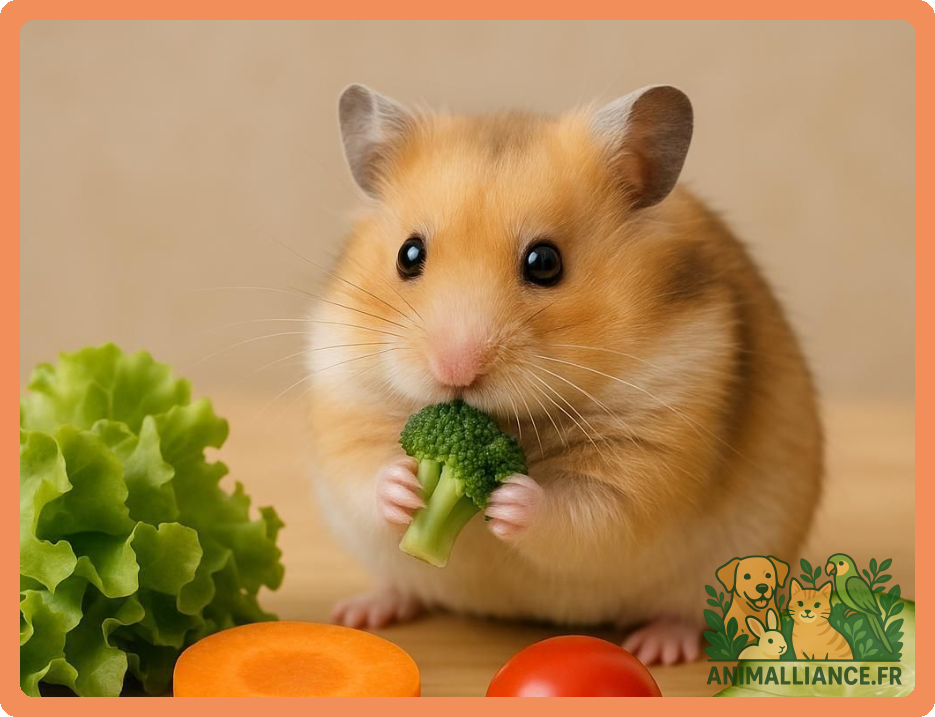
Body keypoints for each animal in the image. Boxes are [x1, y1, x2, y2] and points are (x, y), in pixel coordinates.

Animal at [305, 84, 822, 665]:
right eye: (408, 254)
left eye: (545, 262)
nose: (454, 368)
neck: (513, 424)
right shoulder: (344, 396)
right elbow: (362, 471)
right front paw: (402, 486)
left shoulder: (658, 434)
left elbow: (586, 512)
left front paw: (511, 498)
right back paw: (361, 612)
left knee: (690, 612)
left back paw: (660, 647)